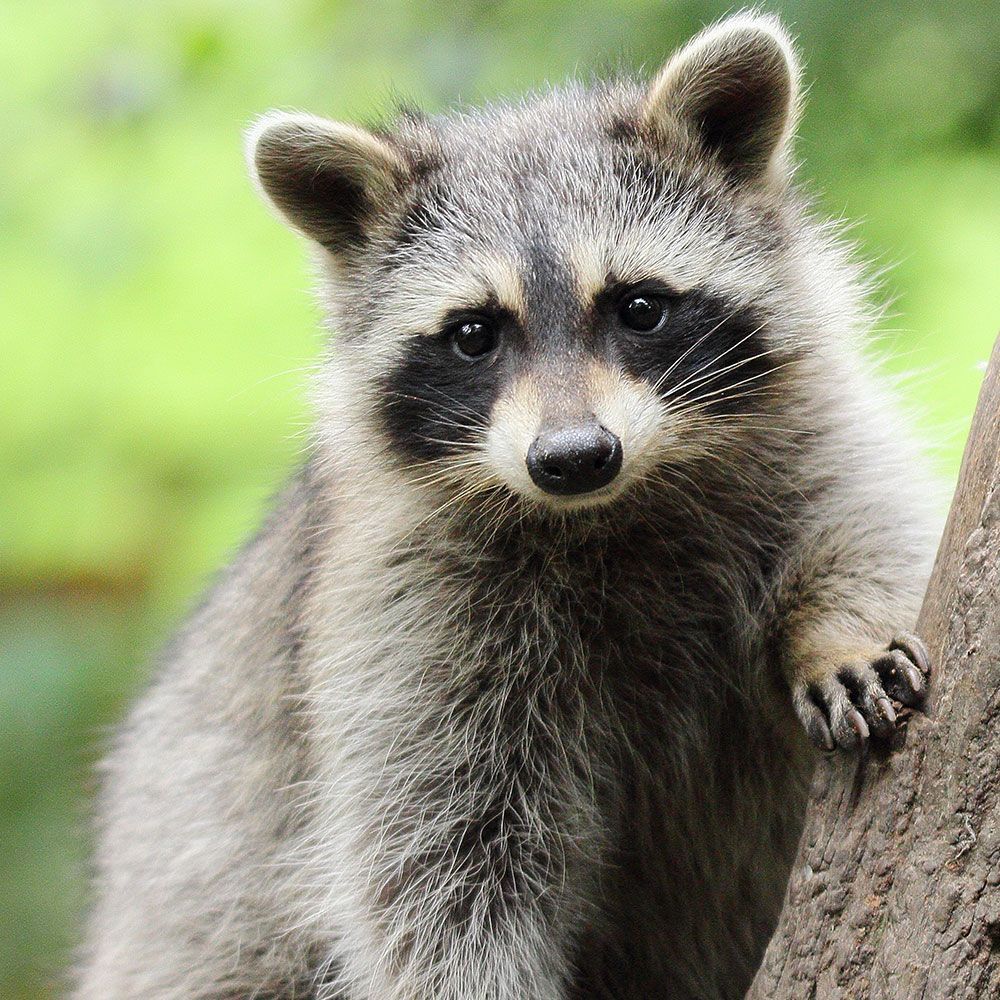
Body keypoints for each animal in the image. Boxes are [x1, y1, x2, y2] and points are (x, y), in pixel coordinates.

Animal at [75, 12, 939, 1000]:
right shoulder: (408, 615)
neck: (613, 507)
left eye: (640, 307)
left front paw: (840, 628)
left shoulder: (814, 432)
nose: (573, 458)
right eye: (473, 334)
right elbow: (440, 866)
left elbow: (870, 523)